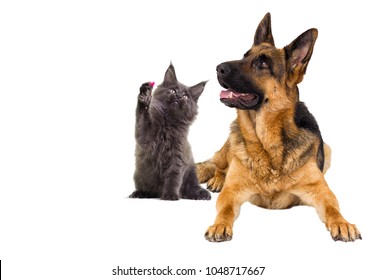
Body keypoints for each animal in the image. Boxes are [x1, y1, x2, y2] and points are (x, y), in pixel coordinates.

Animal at [130, 63, 212, 200]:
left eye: (185, 96)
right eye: (173, 91)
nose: (178, 96)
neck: (168, 124)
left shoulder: (176, 156)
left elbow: (173, 178)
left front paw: (170, 195)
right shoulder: (145, 137)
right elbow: (142, 117)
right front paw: (144, 97)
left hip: (191, 174)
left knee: (192, 187)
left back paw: (202, 194)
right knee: (146, 189)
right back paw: (139, 193)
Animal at [197, 12, 362, 243]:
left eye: (262, 64)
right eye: (244, 56)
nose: (218, 67)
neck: (268, 145)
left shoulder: (321, 190)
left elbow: (333, 208)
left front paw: (342, 223)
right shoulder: (232, 191)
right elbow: (226, 208)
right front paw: (219, 225)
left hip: (328, 150)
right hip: (228, 150)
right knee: (218, 166)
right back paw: (218, 179)